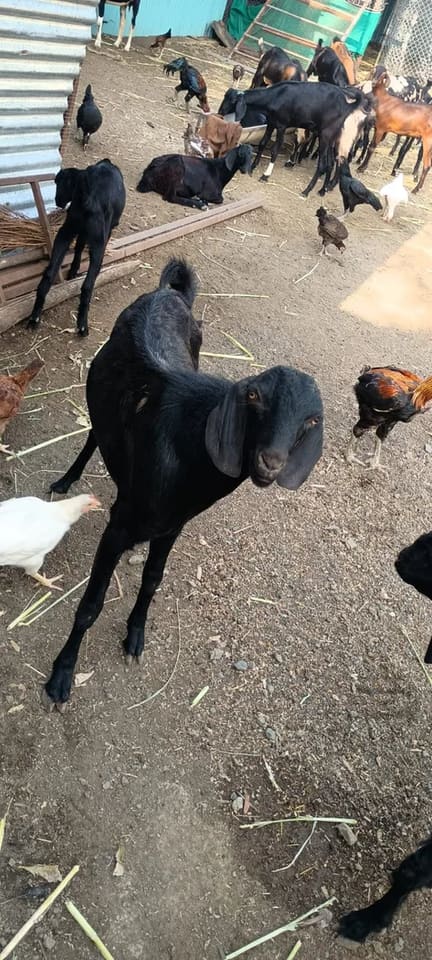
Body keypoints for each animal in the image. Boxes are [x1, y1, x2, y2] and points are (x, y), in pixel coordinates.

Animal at [26, 160, 126, 337]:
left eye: (60, 184)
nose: (57, 201)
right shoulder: (102, 235)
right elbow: (80, 248)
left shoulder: (77, 231)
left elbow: (78, 247)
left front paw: (73, 270)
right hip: (98, 243)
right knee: (88, 285)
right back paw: (82, 325)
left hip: (65, 232)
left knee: (49, 273)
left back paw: (35, 317)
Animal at [42, 258, 324, 710]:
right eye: (255, 397)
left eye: (312, 420)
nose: (271, 462)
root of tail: (167, 292)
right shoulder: (119, 525)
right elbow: (90, 604)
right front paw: (61, 676)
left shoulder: (173, 526)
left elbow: (153, 579)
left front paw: (135, 636)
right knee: (93, 435)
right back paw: (66, 479)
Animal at [223, 81, 369, 195]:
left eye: (232, 101)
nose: (221, 112)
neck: (276, 96)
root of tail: (348, 105)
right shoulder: (271, 123)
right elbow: (263, 143)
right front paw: (253, 166)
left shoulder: (281, 126)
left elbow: (275, 150)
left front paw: (265, 175)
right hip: (331, 139)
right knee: (330, 162)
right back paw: (322, 190)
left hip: (326, 136)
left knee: (323, 164)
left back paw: (307, 191)